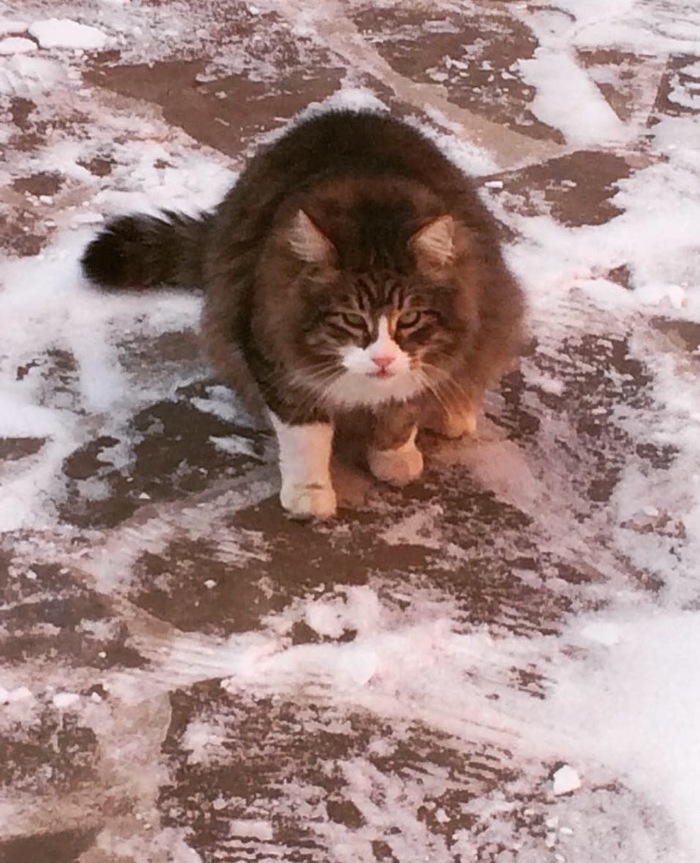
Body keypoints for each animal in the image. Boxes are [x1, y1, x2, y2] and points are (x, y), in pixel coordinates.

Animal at [82, 108, 524, 520]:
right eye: (351, 319)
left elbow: (400, 413)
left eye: (410, 319)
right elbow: (306, 439)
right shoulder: (277, 362)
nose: (382, 359)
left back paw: (454, 410)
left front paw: (394, 457)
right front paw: (310, 493)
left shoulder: (427, 362)